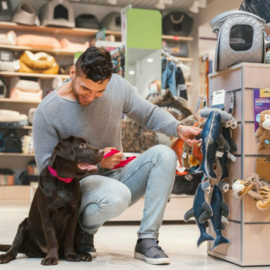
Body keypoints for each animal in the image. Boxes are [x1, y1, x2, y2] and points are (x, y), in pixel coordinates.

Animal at [0, 136, 103, 264]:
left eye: (89, 143)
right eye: (82, 145)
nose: (103, 152)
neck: (64, 181)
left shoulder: (73, 215)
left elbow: (69, 237)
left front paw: (71, 255)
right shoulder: (46, 215)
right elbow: (52, 238)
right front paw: (51, 257)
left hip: (78, 227)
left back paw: (83, 254)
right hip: (23, 226)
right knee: (14, 248)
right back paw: (5, 256)